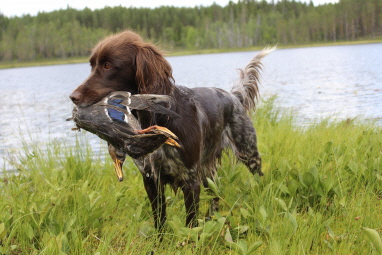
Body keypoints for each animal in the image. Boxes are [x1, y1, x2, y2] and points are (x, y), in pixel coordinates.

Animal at [70, 30, 274, 231]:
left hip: (248, 153)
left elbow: (191, 225)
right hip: (207, 170)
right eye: (92, 65)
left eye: (108, 65)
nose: (73, 97)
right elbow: (159, 221)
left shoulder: (190, 180)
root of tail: (234, 96)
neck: (155, 118)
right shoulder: (151, 179)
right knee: (215, 192)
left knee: (258, 179)